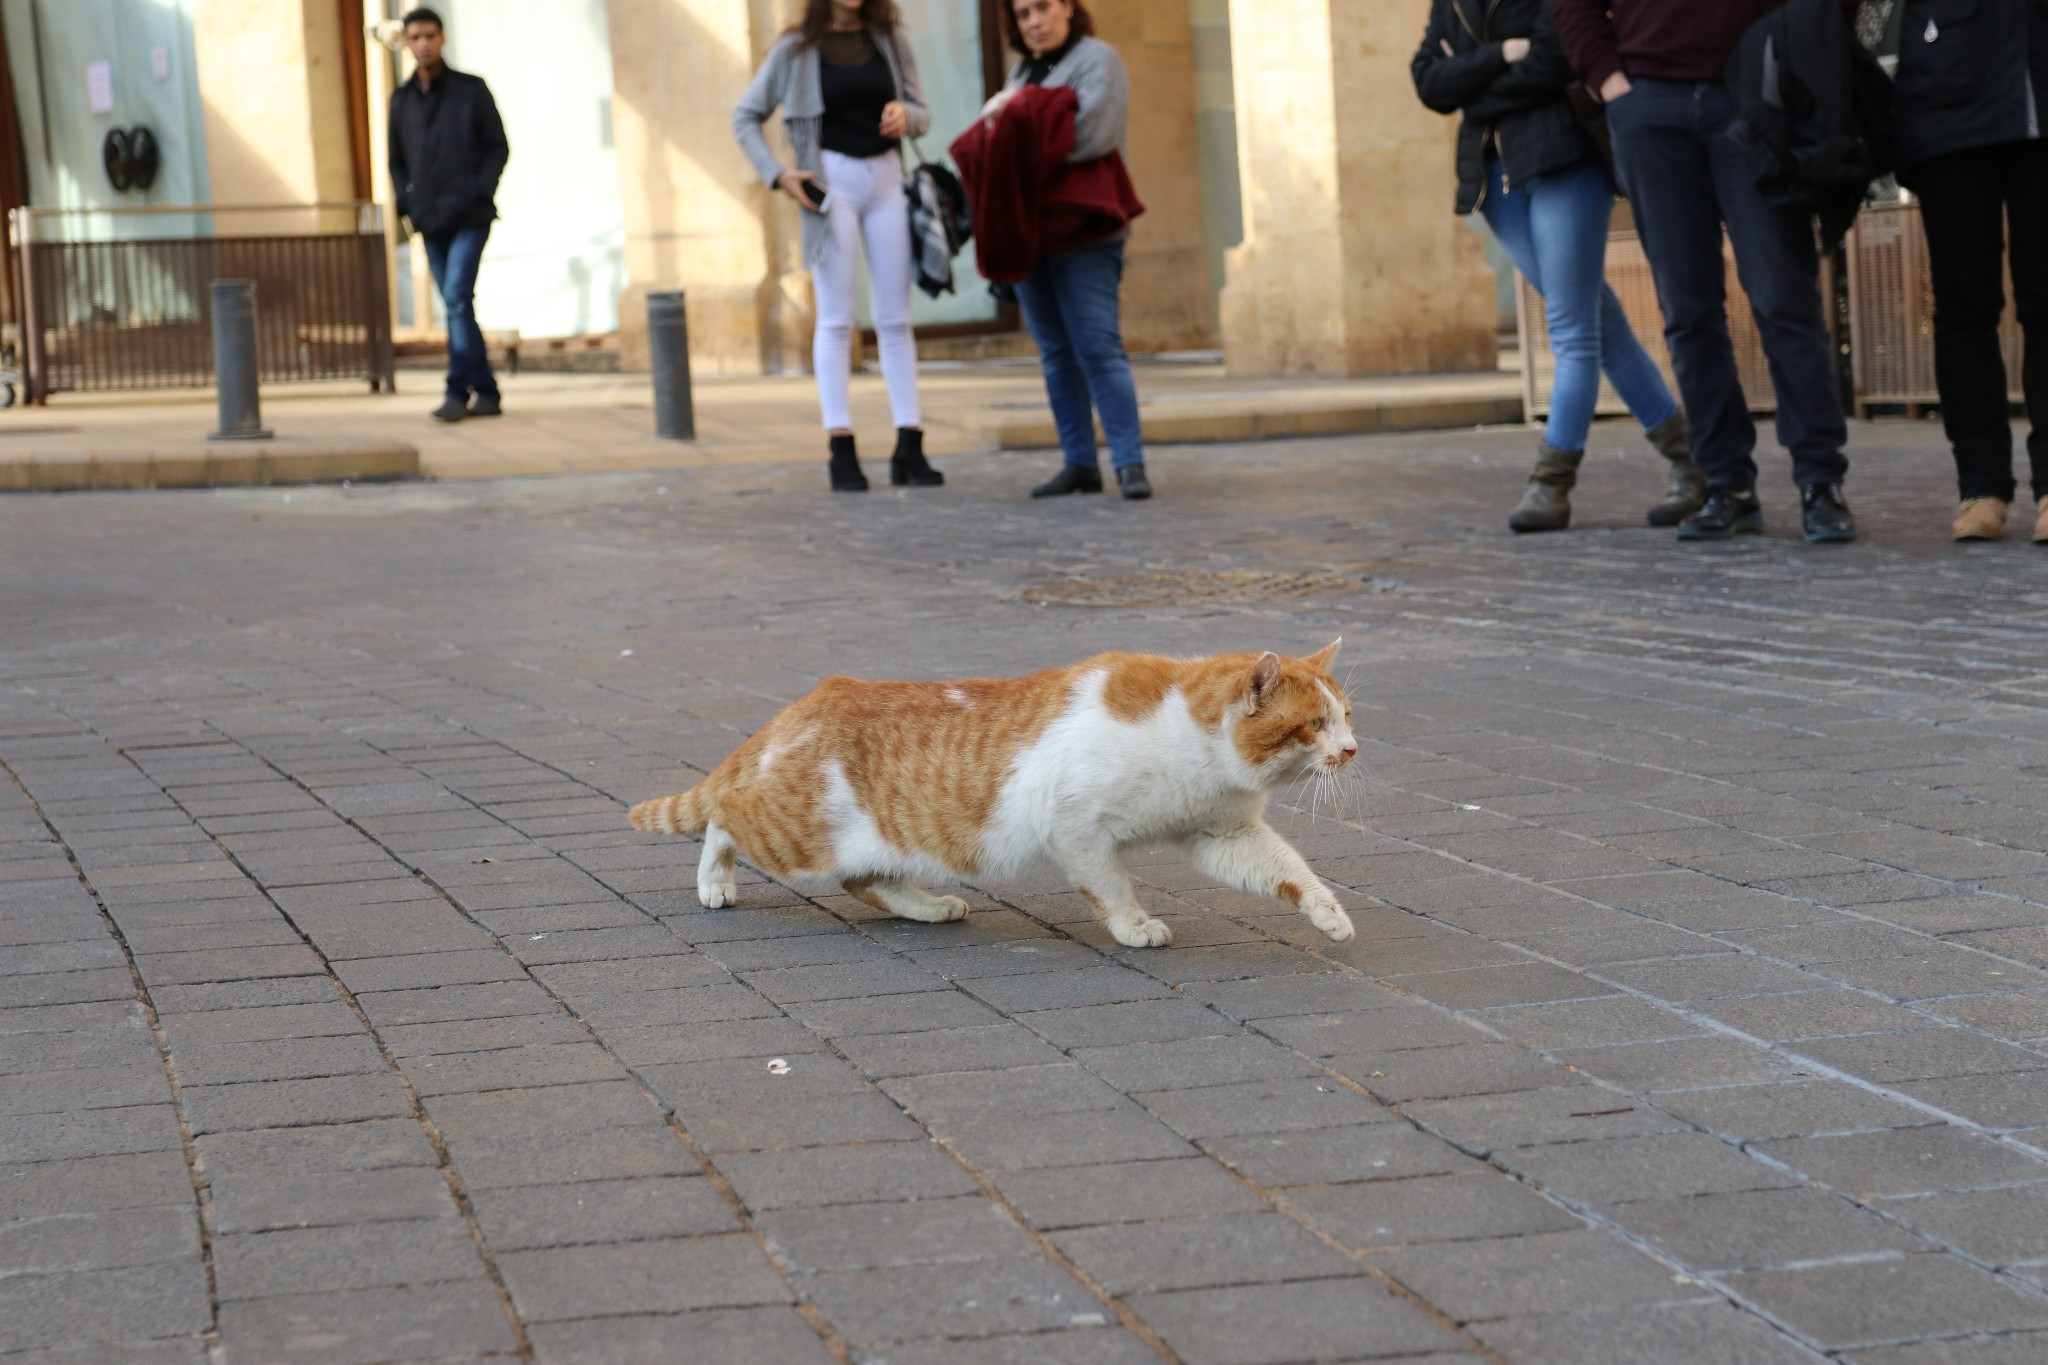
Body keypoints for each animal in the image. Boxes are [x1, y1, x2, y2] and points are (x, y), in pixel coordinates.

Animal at [626, 642, 1359, 945]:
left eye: (1348, 716)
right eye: (1315, 724)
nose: (1353, 750)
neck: (1197, 745)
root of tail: (810, 700)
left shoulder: (1221, 834)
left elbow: (1289, 872)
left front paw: (1328, 914)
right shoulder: (1077, 831)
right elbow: (1111, 889)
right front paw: (1133, 927)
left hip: (870, 843)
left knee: (866, 880)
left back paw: (929, 907)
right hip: (796, 837)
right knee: (724, 814)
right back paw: (715, 882)